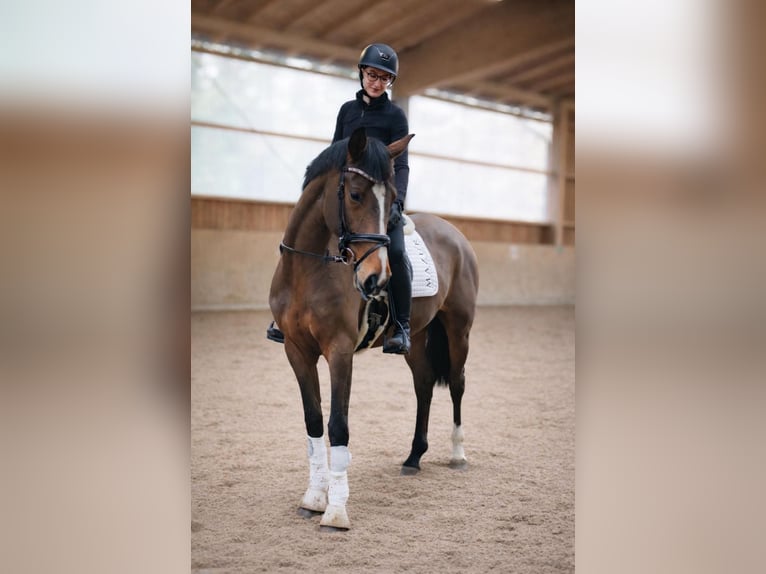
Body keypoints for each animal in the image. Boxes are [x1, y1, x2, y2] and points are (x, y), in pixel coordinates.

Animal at [269, 127, 479, 530]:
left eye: (393, 198)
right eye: (354, 194)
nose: (376, 279)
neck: (308, 270)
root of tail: (454, 232)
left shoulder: (339, 351)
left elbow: (338, 425)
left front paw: (336, 512)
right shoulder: (295, 350)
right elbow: (313, 421)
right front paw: (314, 498)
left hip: (458, 328)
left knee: (457, 383)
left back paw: (458, 454)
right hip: (417, 337)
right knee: (423, 385)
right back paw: (414, 457)